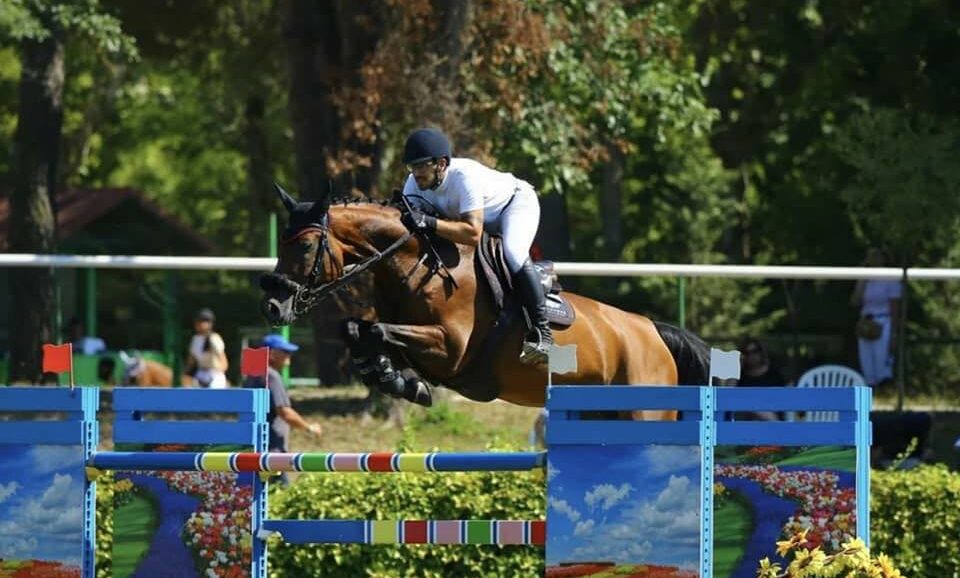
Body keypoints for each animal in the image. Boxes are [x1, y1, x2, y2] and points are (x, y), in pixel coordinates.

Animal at [258, 183, 708, 414]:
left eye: (304, 247)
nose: (273, 306)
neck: (417, 262)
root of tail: (653, 332)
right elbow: (357, 328)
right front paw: (395, 379)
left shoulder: (450, 348)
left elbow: (378, 331)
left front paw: (400, 381)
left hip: (646, 407)